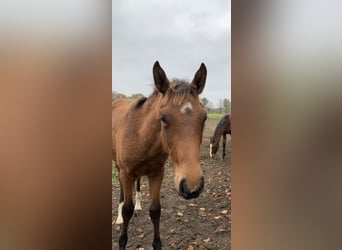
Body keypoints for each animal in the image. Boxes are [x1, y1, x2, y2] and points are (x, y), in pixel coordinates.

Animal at [113, 61, 207, 250]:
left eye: (204, 118)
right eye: (163, 118)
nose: (192, 186)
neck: (140, 136)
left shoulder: (157, 173)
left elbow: (155, 210)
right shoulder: (126, 174)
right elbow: (127, 209)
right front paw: (122, 240)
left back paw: (139, 205)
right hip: (119, 169)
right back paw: (119, 216)